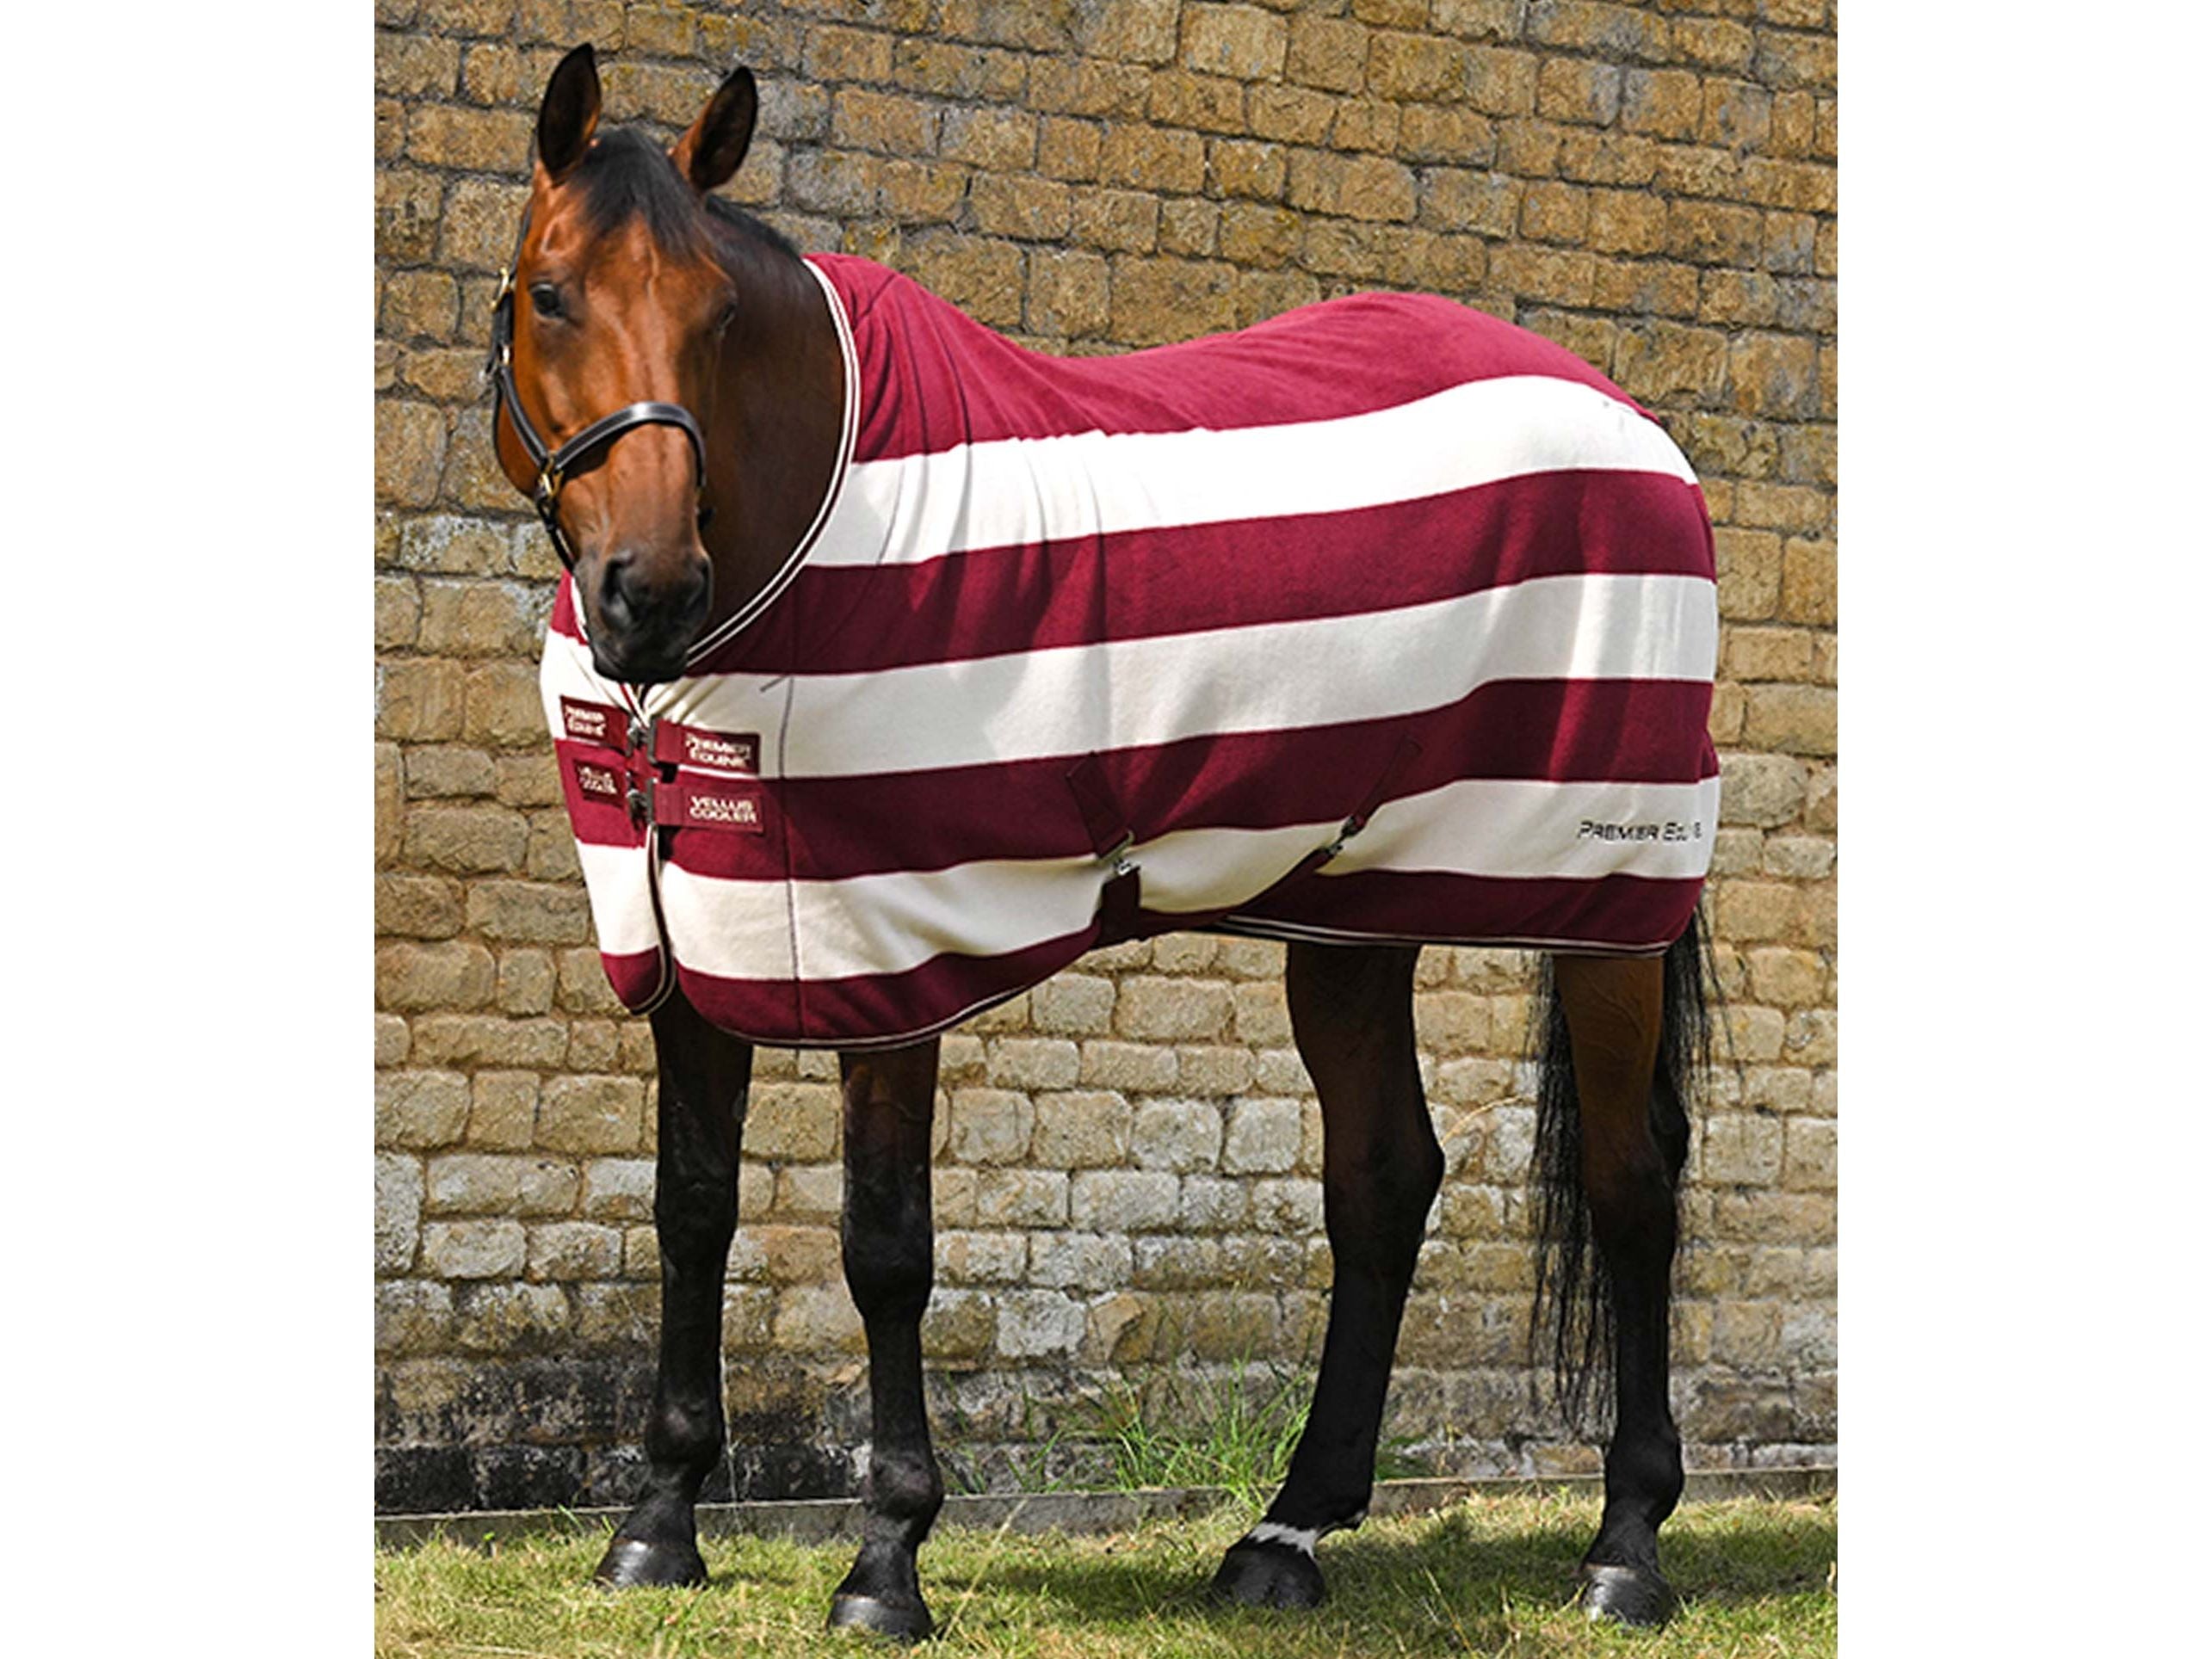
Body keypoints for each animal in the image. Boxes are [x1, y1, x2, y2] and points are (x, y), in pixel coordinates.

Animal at [486, 44, 1719, 1637]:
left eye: (719, 315)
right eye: (550, 293)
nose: (649, 593)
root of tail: (1629, 423)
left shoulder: (892, 947)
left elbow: (884, 1245)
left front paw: (885, 1559)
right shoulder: (689, 940)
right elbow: (689, 1207)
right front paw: (657, 1524)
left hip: (1600, 896)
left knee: (1631, 1182)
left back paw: (1624, 1547)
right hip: (1354, 903)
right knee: (1383, 1178)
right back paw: (1286, 1535)